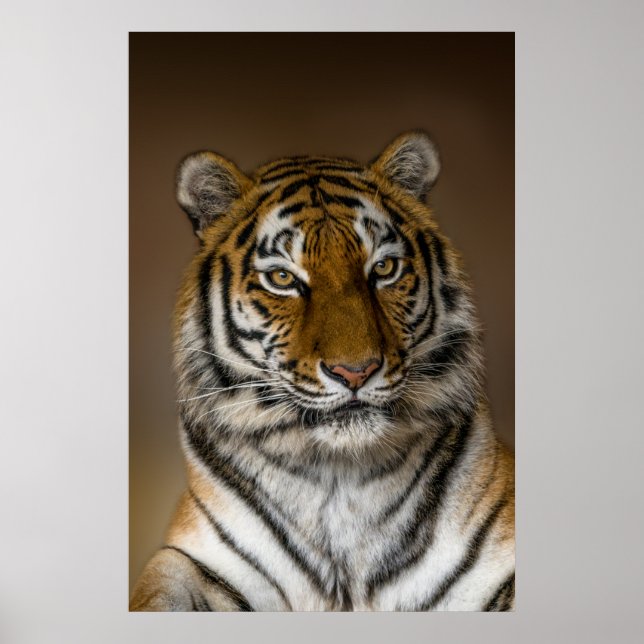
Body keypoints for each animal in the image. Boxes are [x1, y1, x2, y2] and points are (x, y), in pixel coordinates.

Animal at [130, 131, 515, 612]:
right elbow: (159, 588)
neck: (338, 478)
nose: (355, 372)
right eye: (282, 278)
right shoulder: (198, 561)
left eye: (384, 268)